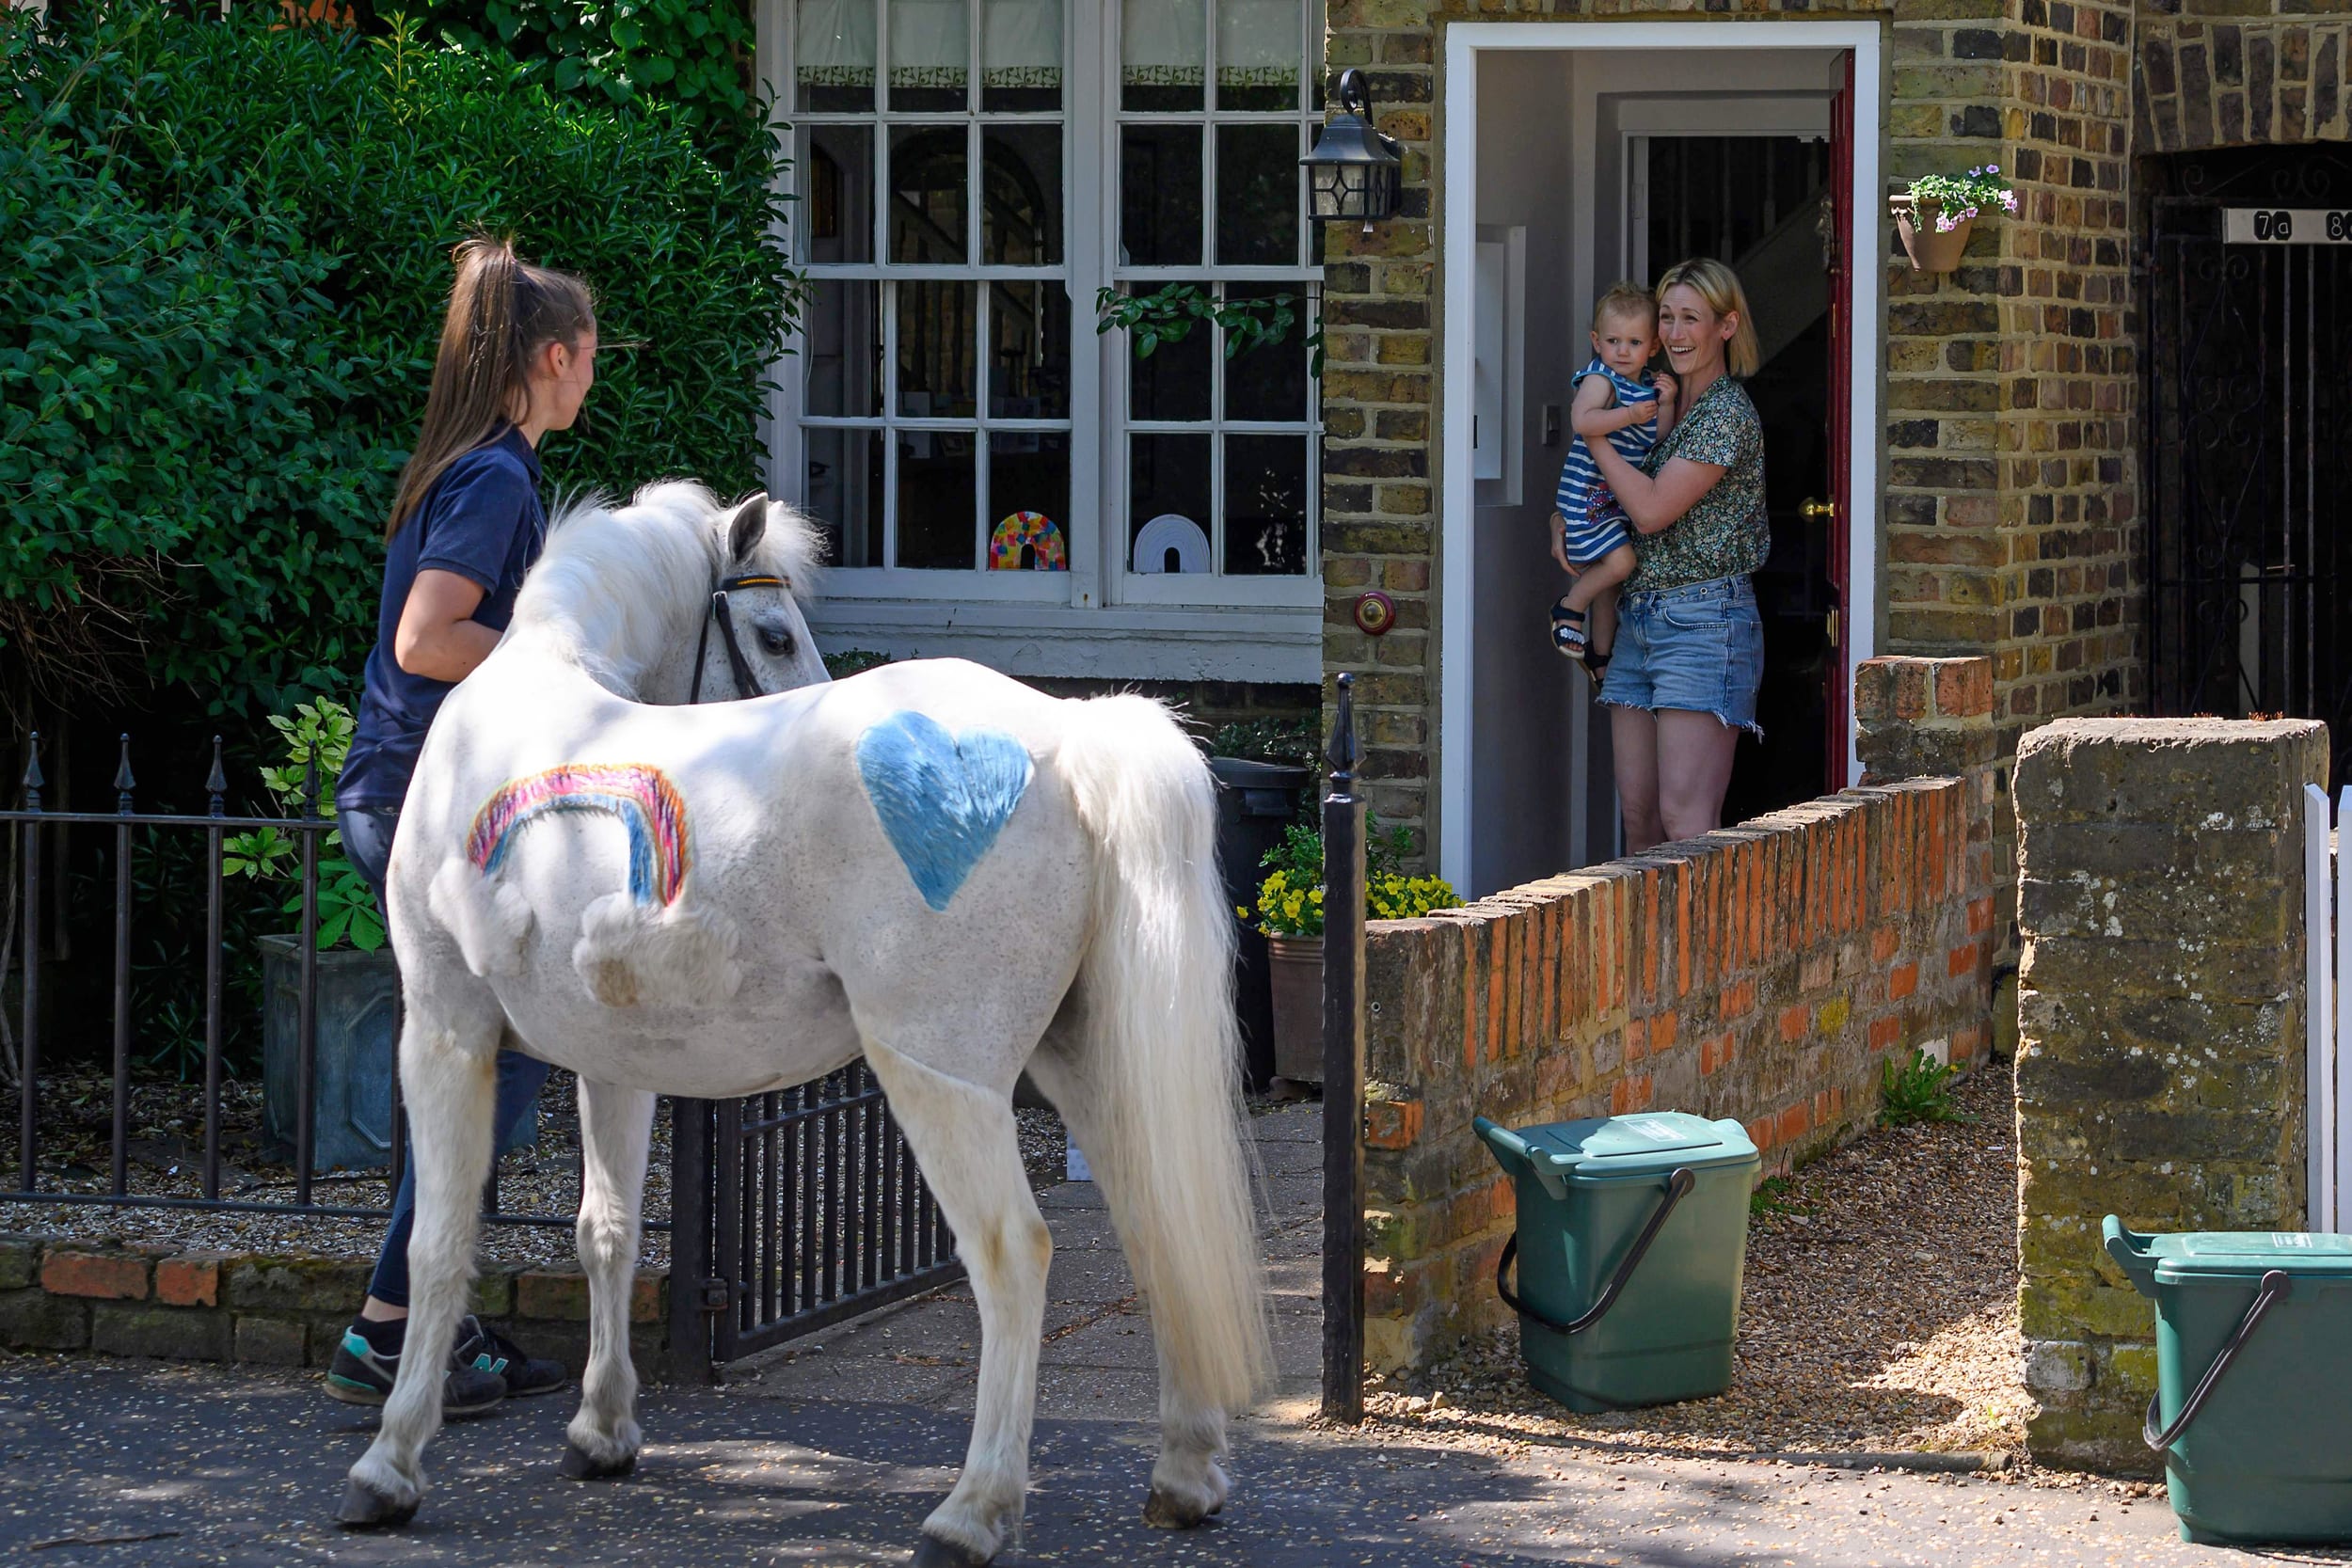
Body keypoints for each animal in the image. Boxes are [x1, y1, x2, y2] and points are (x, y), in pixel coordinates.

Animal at [337, 483, 1271, 1565]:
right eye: (775, 633)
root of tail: (1068, 737)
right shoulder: (613, 1061)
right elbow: (605, 1232)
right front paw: (602, 1428)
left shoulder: (444, 1033)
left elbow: (437, 1242)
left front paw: (390, 1462)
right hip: (1086, 1064)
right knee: (1160, 1224)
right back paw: (1185, 1471)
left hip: (940, 1078)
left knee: (1010, 1252)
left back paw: (973, 1508)